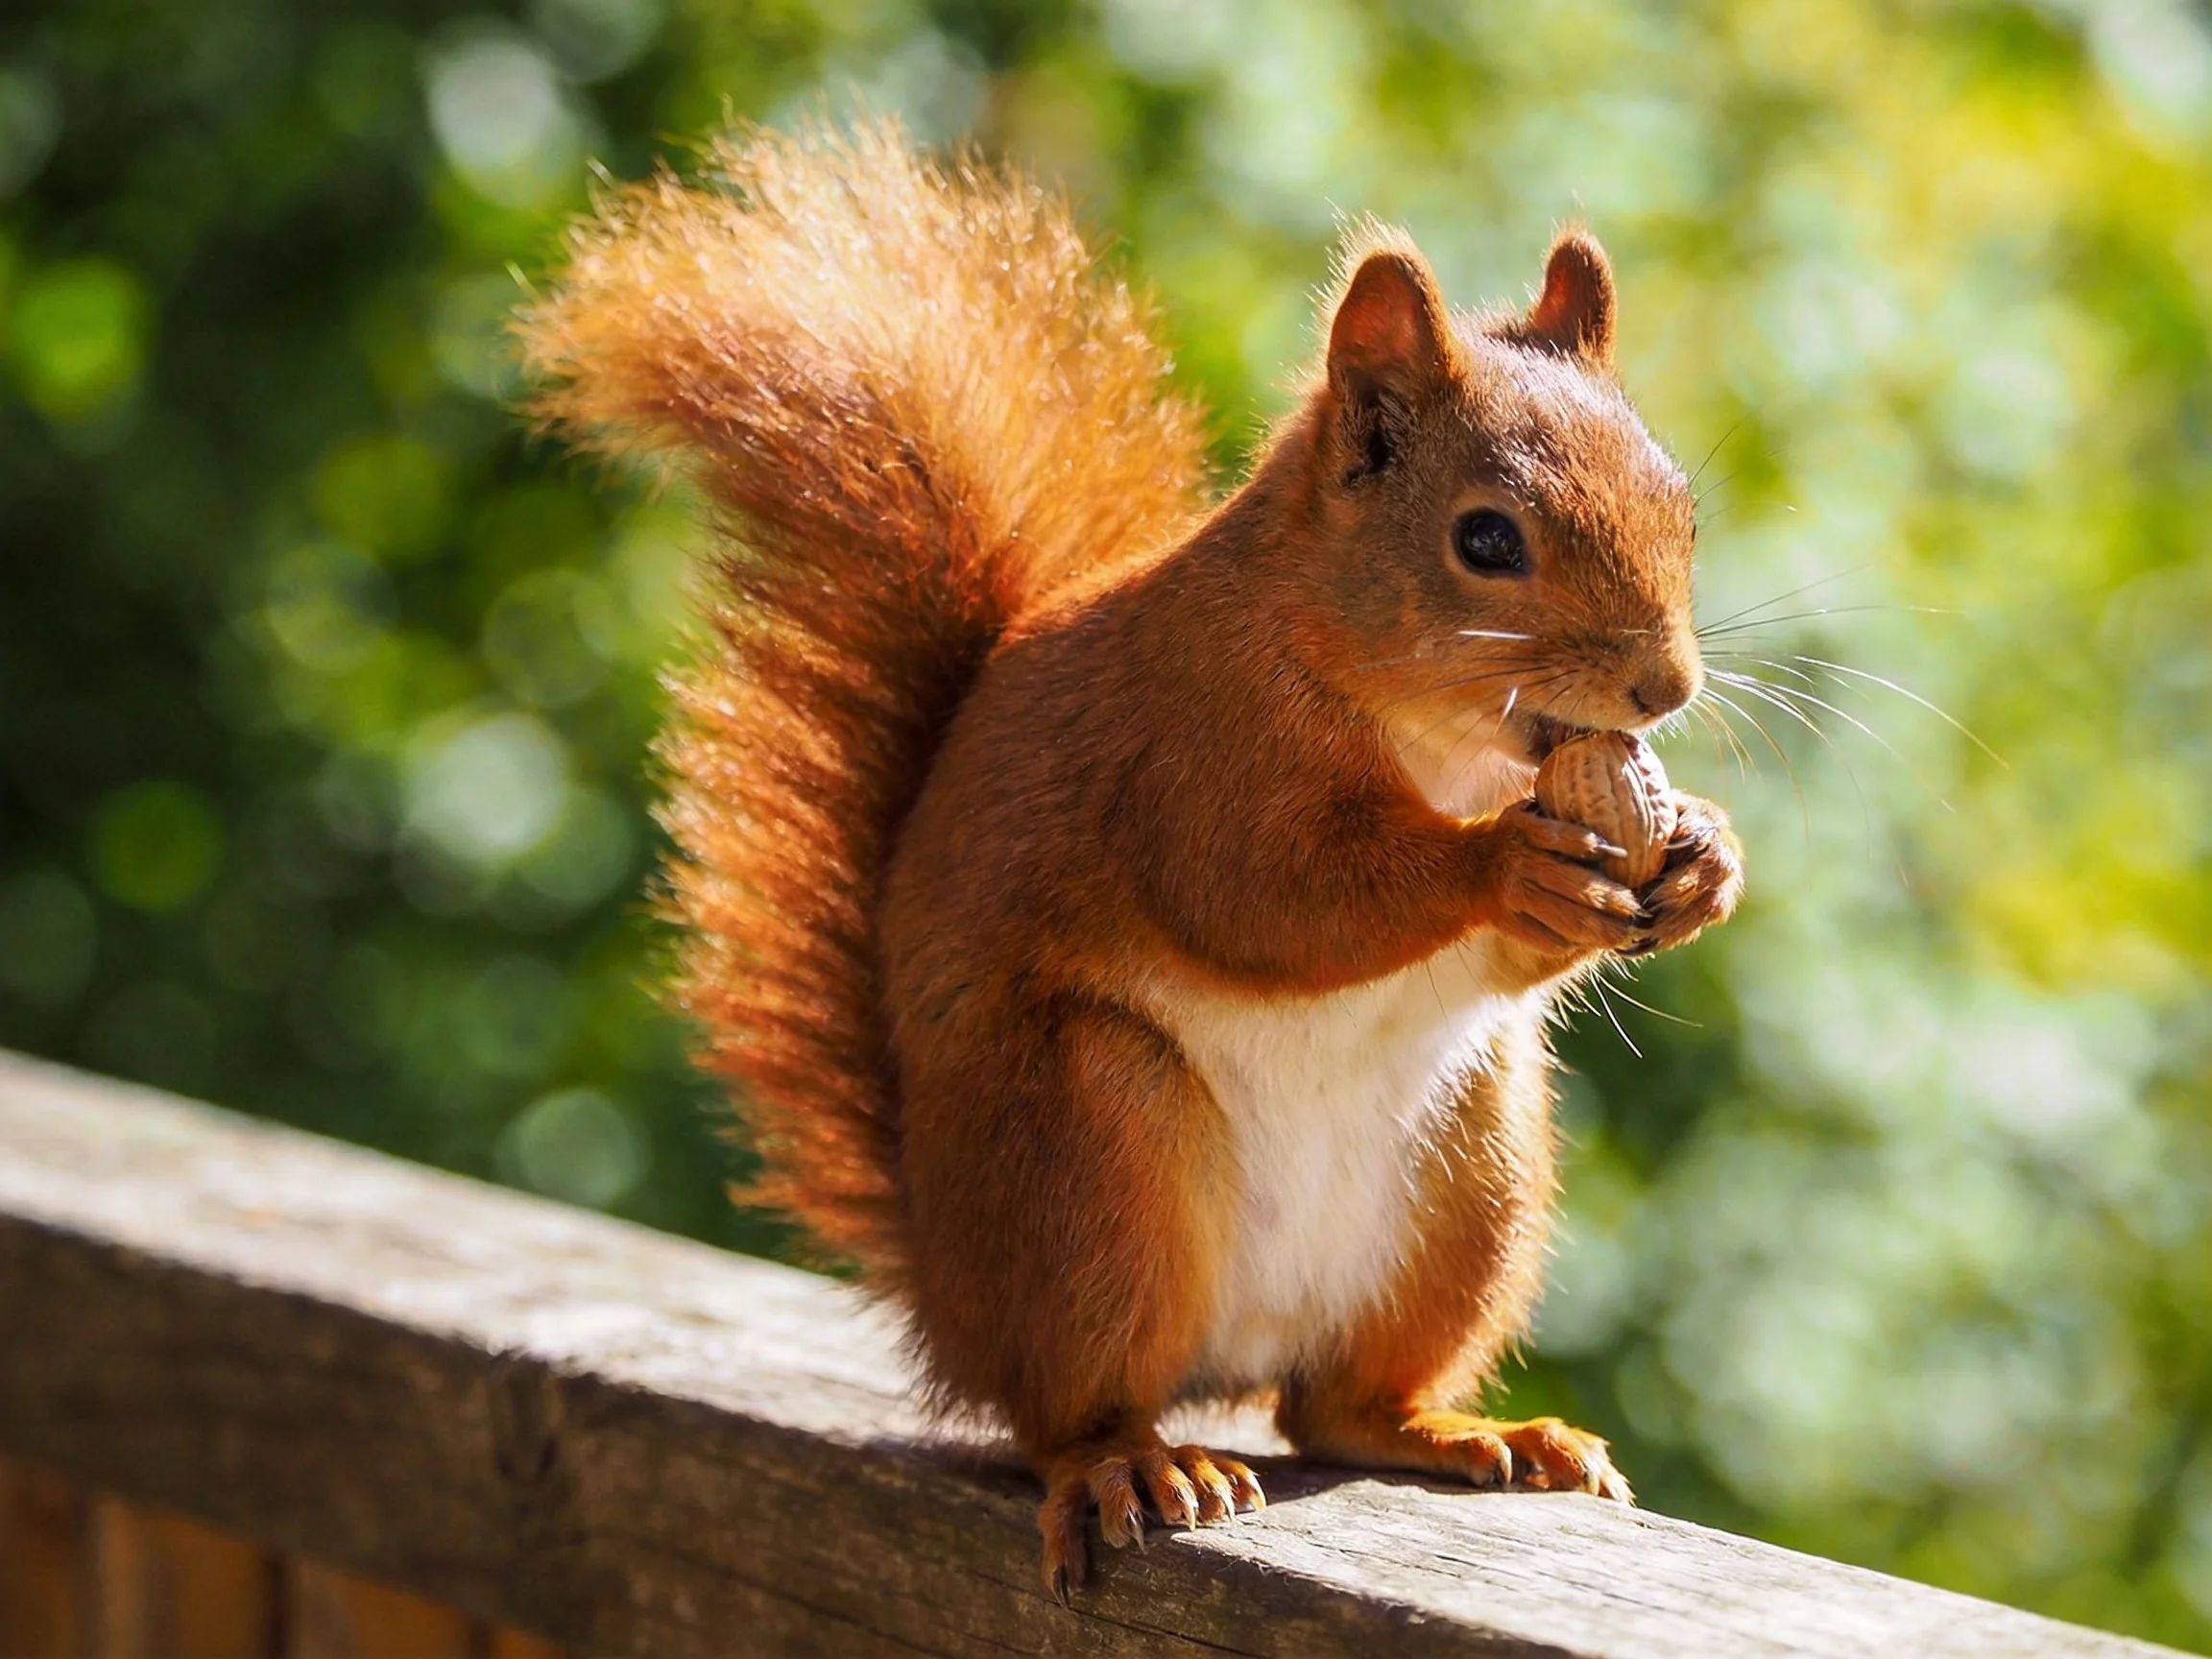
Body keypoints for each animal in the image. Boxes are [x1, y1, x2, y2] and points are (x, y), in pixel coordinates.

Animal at [518, 119, 1744, 1598]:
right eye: (1487, 539)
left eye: (1682, 507)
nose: (1665, 688)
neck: (1428, 730)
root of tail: (953, 1296)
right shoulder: (1193, 758)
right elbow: (1271, 900)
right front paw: (1508, 864)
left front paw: (1704, 857)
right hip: (1091, 1149)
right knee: (1070, 1410)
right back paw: (1133, 1466)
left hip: (1474, 1172)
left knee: (1335, 1408)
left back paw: (1468, 1435)